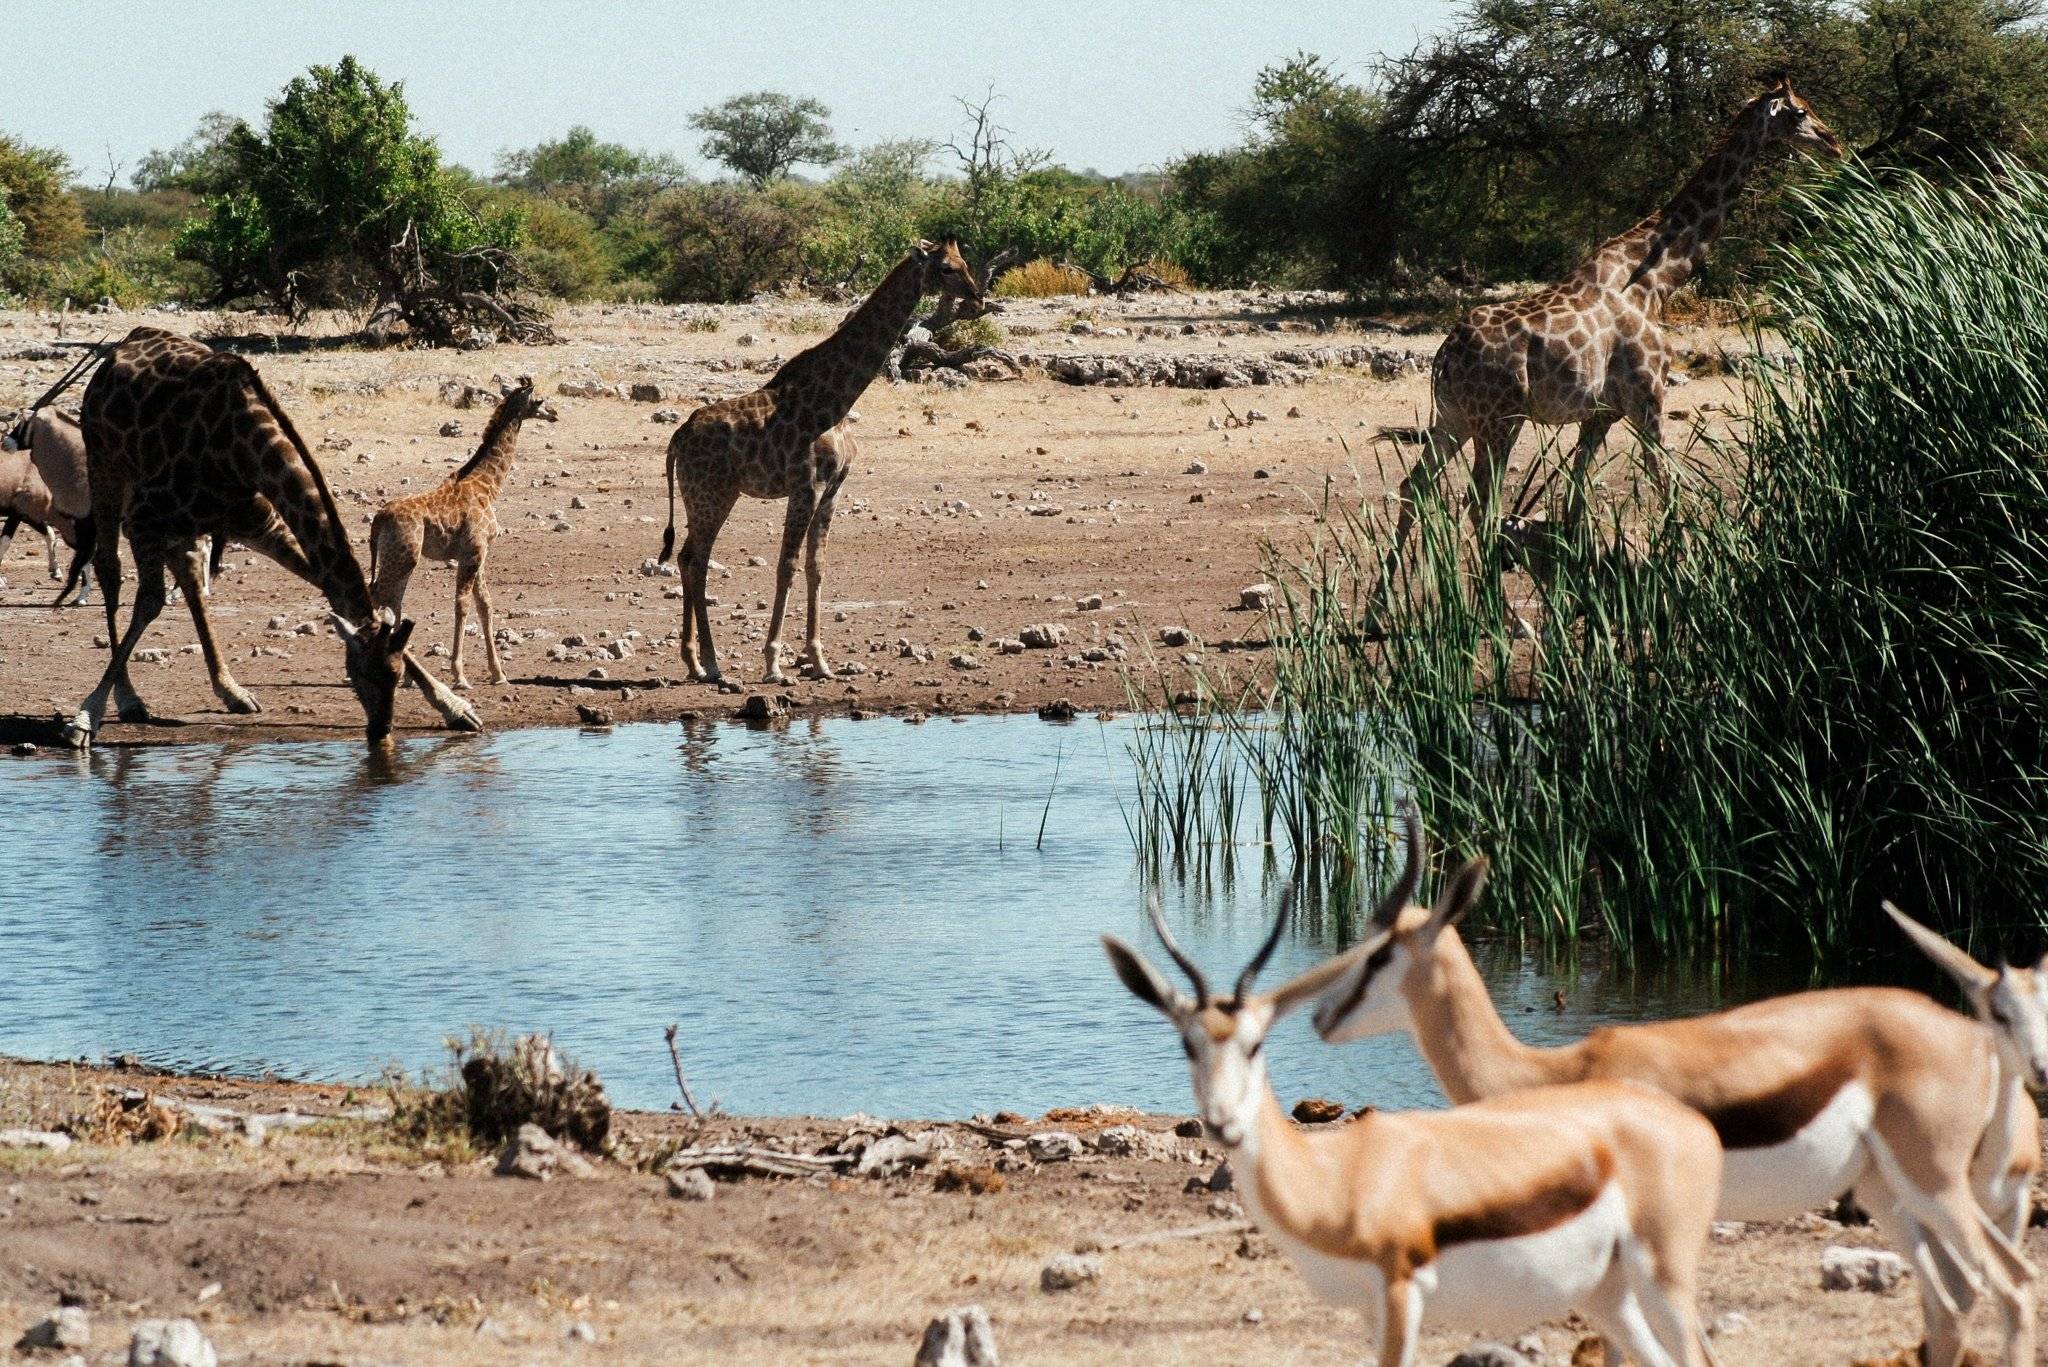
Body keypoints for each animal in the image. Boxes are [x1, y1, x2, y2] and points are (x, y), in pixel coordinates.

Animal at [58, 327, 479, 754]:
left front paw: (455, 706)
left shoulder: (259, 522)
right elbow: (149, 603)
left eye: (394, 676)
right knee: (110, 569)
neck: (242, 451)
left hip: (186, 525)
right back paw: (128, 699)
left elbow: (335, 588)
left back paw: (231, 691)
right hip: (106, 467)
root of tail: (128, 340)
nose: (381, 731)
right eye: (359, 673)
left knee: (190, 578)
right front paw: (85, 717)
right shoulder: (146, 519)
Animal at [368, 375, 561, 688]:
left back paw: (404, 674)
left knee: (393, 601)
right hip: (404, 555)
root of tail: (378, 519)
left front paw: (498, 674)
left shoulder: (478, 553)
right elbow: (463, 605)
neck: (487, 487)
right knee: (379, 594)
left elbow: (485, 604)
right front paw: (459, 674)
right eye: (540, 400)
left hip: (401, 558)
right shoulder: (473, 551)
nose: (554, 413)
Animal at [655, 237, 974, 684]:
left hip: (707, 496)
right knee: (694, 559)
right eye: (946, 268)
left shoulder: (833, 489)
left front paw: (820, 661)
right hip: (711, 495)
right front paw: (774, 663)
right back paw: (710, 664)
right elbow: (786, 565)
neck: (835, 402)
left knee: (689, 559)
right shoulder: (804, 486)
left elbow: (815, 565)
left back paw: (699, 663)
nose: (978, 296)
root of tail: (677, 438)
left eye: (965, 262)